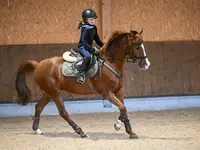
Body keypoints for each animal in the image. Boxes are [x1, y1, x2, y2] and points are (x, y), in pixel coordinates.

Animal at [14, 28, 150, 139]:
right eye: (137, 46)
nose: (147, 64)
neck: (111, 63)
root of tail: (38, 65)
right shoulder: (107, 93)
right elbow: (122, 108)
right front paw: (117, 125)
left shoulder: (119, 91)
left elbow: (124, 110)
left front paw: (131, 132)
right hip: (54, 92)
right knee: (63, 112)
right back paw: (81, 132)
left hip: (48, 93)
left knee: (38, 107)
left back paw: (37, 130)